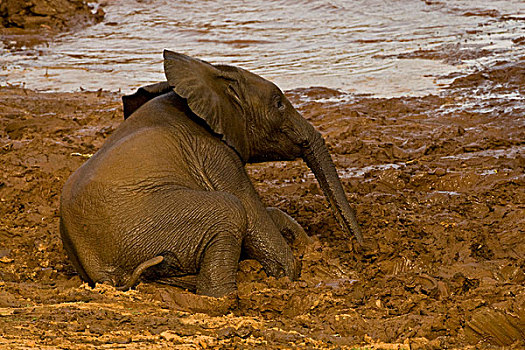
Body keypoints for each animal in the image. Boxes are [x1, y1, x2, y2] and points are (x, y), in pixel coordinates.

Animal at [59, 50, 362, 296]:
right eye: (278, 104)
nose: (359, 248)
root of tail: (99, 271)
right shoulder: (212, 151)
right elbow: (250, 211)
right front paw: (289, 274)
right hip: (144, 225)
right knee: (230, 208)